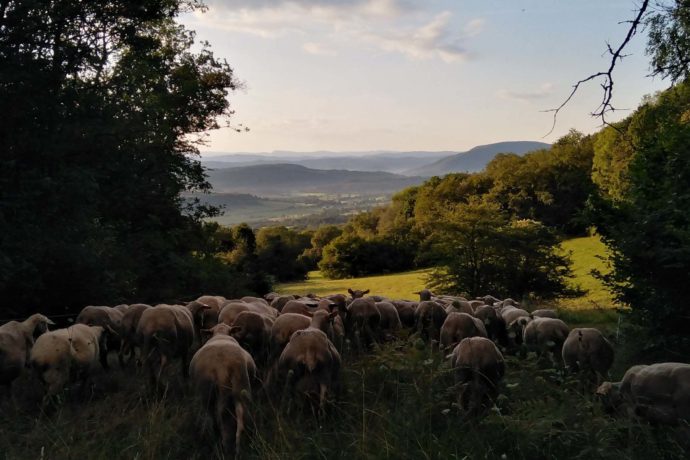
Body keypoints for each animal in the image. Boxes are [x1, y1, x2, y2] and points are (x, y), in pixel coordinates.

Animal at [188, 324, 255, 456]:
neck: (221, 334)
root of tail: (224, 368)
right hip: (243, 388)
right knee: (243, 417)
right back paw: (240, 447)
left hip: (210, 395)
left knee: (220, 417)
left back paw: (223, 444)